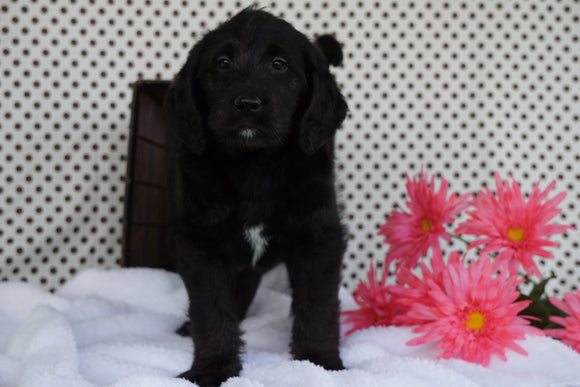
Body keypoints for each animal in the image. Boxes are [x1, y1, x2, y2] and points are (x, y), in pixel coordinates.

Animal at [161, 7, 346, 386]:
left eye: (279, 64)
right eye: (222, 63)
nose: (247, 104)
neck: (254, 165)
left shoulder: (318, 237)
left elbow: (318, 304)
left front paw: (319, 363)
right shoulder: (200, 242)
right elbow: (211, 308)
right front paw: (212, 368)